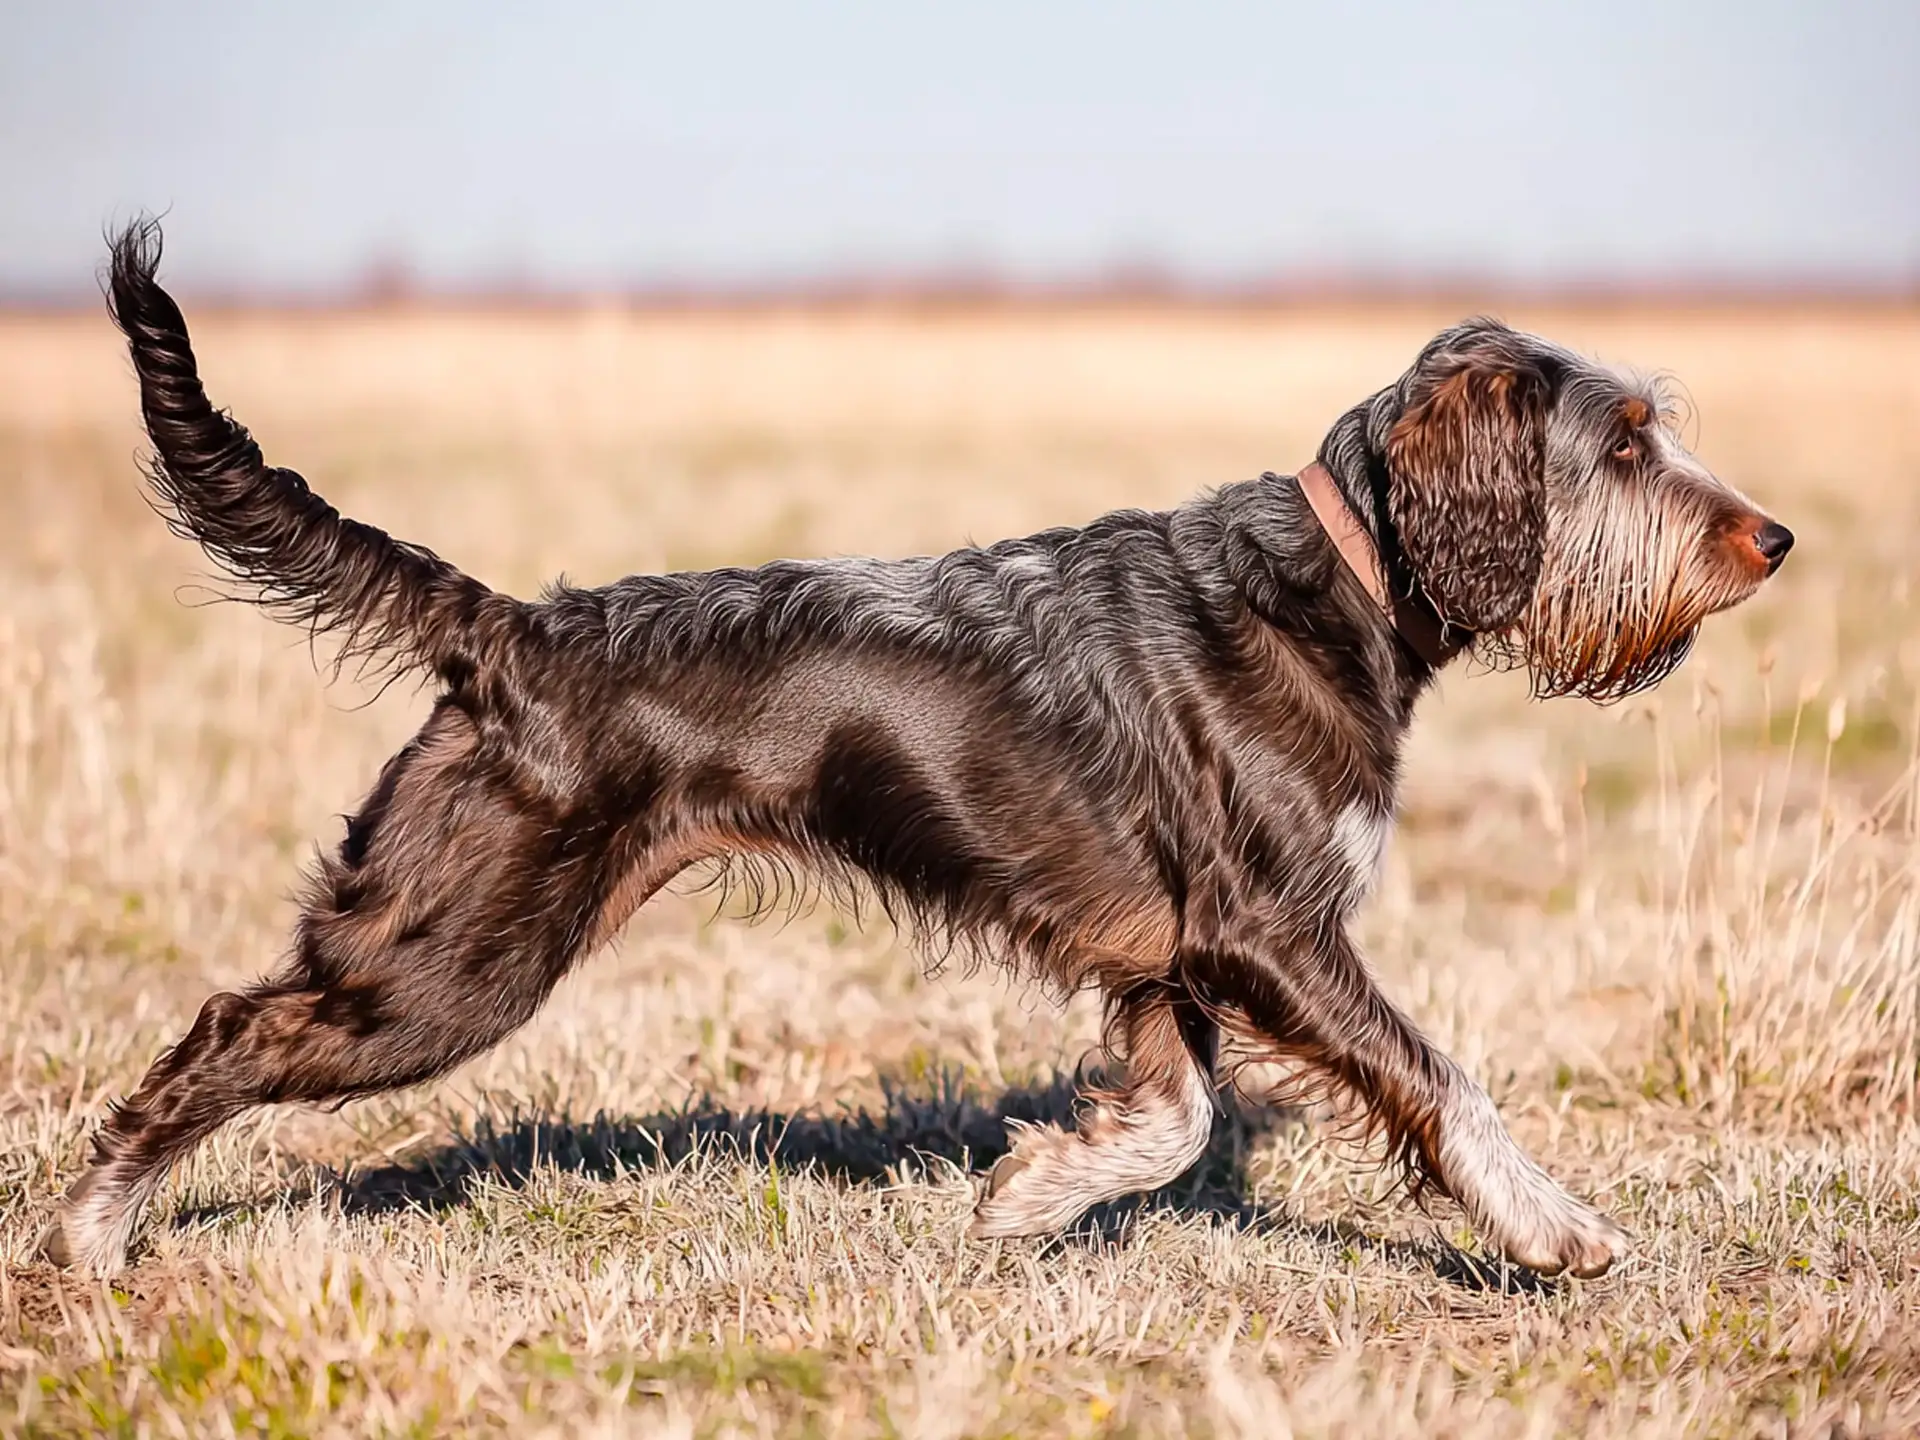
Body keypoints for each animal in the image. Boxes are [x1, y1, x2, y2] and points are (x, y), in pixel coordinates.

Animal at [45, 219, 1789, 1282]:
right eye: (1625, 445)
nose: (1771, 540)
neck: (1341, 582)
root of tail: (509, 631)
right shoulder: (1272, 935)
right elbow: (1437, 1078)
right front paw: (1558, 1229)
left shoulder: (1168, 958)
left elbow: (1174, 1118)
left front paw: (1031, 1192)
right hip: (453, 958)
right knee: (227, 1035)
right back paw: (89, 1234)